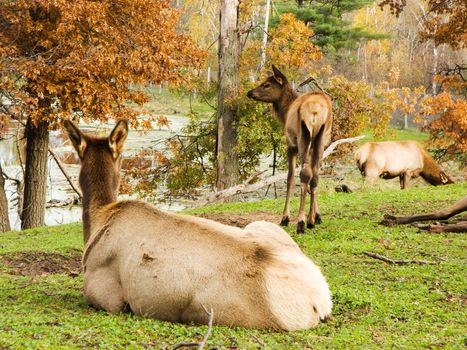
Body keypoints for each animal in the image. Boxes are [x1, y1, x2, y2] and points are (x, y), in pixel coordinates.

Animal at [247, 66, 334, 235]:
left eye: (267, 84)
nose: (250, 92)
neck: (284, 113)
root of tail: (315, 109)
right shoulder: (313, 148)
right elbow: (313, 176)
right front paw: (317, 215)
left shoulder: (290, 145)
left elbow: (290, 178)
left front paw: (285, 217)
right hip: (320, 138)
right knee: (315, 175)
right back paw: (310, 221)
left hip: (302, 136)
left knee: (305, 174)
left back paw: (300, 222)